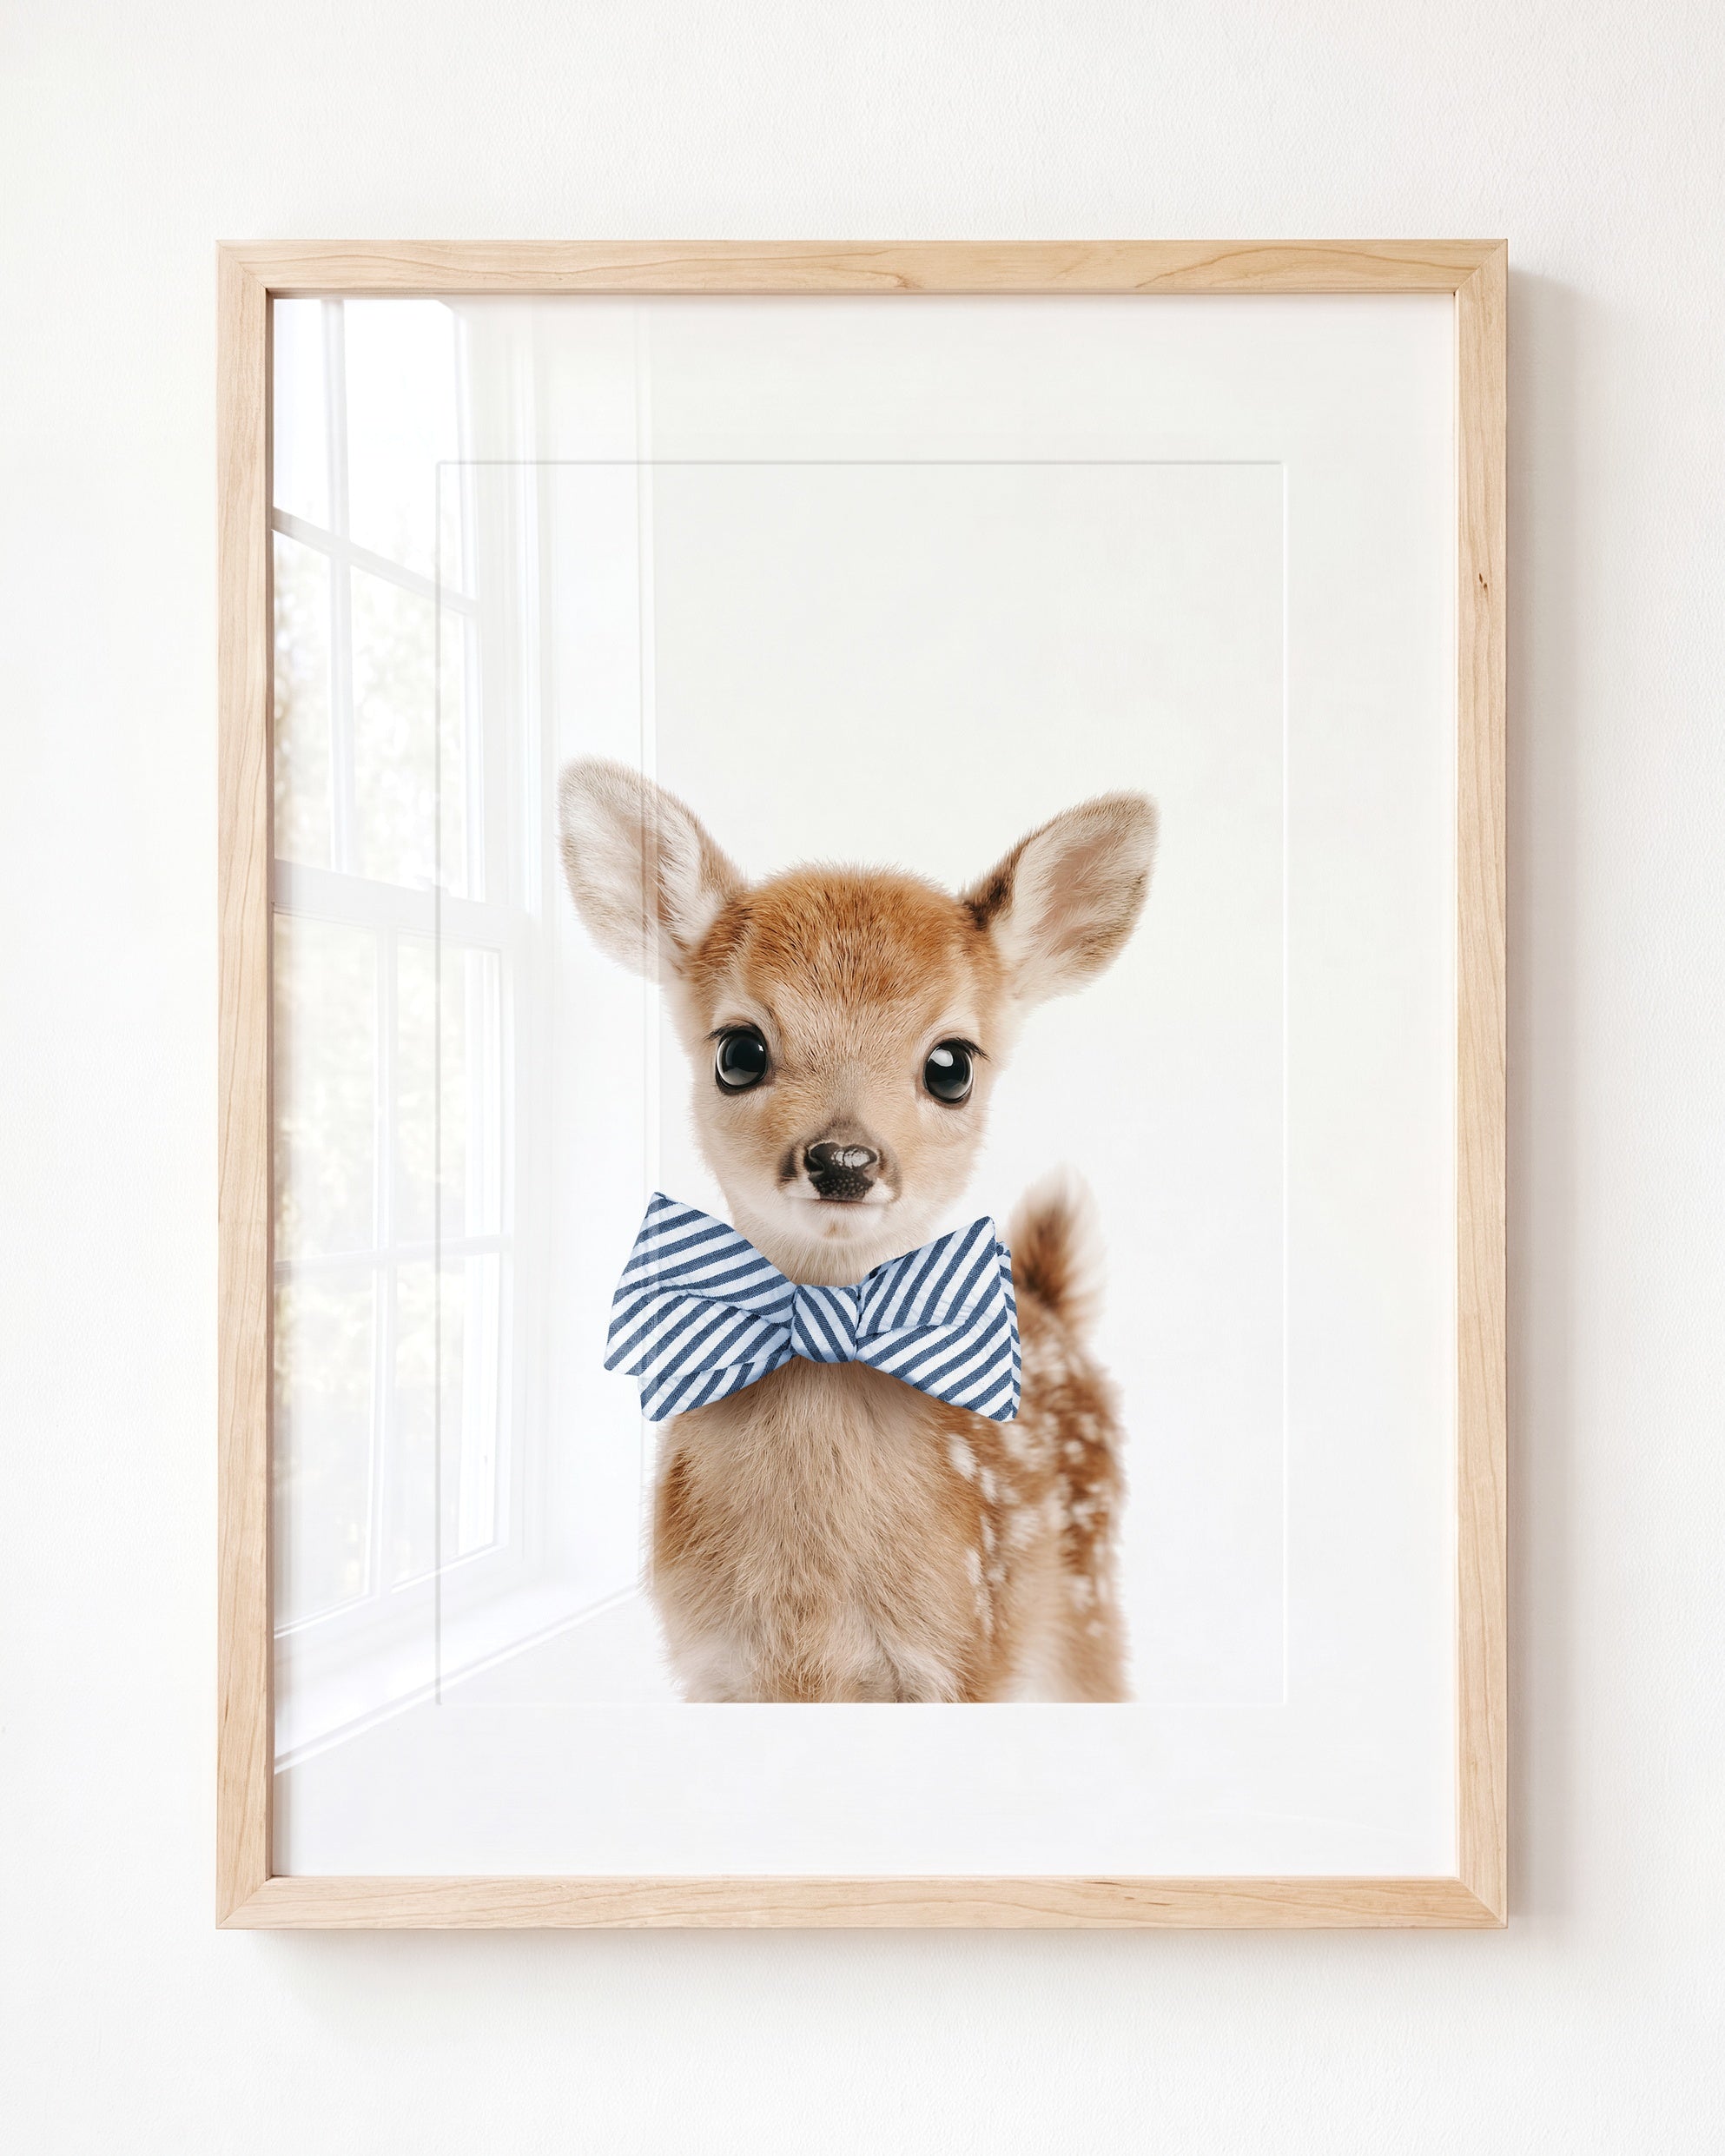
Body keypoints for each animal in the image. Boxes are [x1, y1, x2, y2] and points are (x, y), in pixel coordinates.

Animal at [558, 758, 1157, 1701]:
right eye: (738, 1051)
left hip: (1085, 1604)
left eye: (951, 1065)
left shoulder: (962, 1655)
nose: (843, 1158)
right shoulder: (713, 1666)